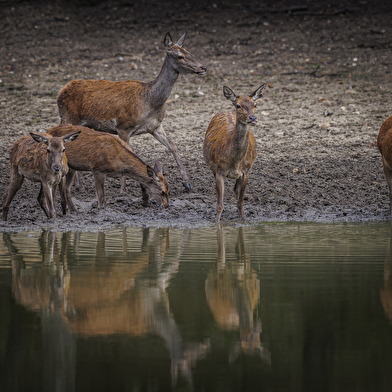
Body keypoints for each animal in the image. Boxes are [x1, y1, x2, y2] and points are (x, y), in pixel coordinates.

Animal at [57, 32, 208, 193]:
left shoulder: (155, 126)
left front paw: (187, 183)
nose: (203, 67)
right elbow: (126, 153)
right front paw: (122, 191)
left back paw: (77, 185)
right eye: (180, 56)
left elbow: (172, 145)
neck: (151, 102)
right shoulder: (123, 127)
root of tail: (61, 92)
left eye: (190, 52)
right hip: (68, 117)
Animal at [202, 83, 266, 222]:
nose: (253, 118)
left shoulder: (246, 171)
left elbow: (240, 202)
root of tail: (225, 111)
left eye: (255, 104)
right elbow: (219, 205)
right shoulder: (219, 171)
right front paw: (217, 222)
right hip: (213, 168)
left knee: (236, 191)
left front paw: (242, 219)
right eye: (238, 105)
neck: (236, 162)